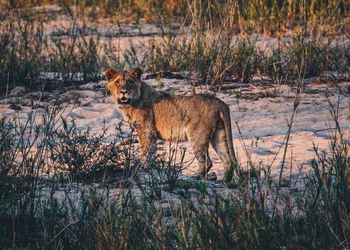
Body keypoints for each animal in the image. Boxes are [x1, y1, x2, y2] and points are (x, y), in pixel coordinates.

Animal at [104, 67, 239, 183]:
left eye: (130, 82)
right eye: (117, 82)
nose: (123, 92)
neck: (130, 103)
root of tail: (220, 102)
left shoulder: (145, 130)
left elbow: (146, 151)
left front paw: (144, 168)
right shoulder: (151, 133)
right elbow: (152, 152)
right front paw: (151, 169)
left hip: (197, 136)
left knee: (207, 162)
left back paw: (193, 177)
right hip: (218, 134)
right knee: (227, 160)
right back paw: (224, 182)